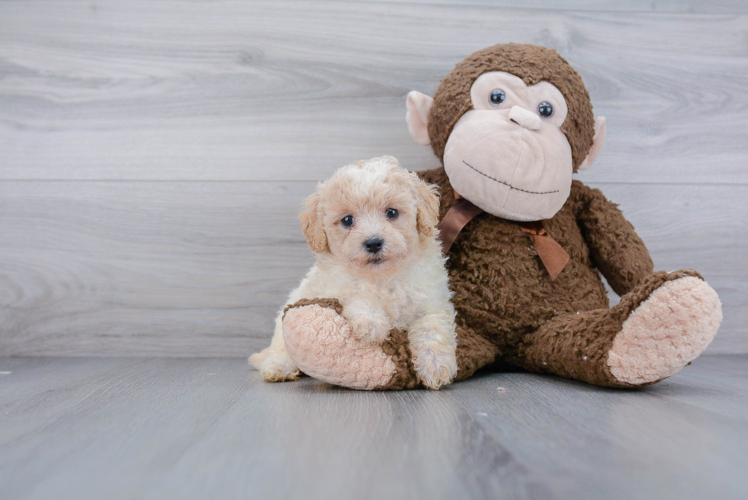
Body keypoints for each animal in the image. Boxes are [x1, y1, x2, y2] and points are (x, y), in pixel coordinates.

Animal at [250, 156, 456, 390]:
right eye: (347, 220)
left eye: (392, 212)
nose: (373, 242)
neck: (383, 277)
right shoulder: (333, 286)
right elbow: (356, 292)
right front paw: (371, 322)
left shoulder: (432, 302)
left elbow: (433, 329)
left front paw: (436, 366)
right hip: (286, 318)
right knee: (281, 348)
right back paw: (277, 368)